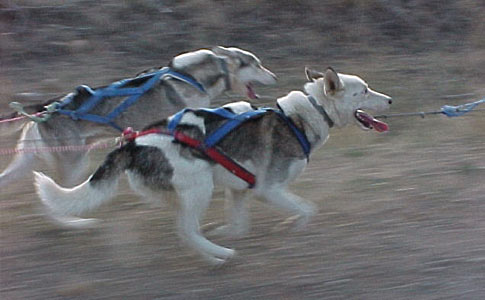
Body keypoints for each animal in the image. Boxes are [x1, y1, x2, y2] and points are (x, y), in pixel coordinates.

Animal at [0, 46, 276, 188]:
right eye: (257, 64)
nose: (274, 76)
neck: (193, 77)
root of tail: (46, 107)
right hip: (73, 160)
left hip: (30, 157)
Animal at [33, 67, 390, 264]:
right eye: (364, 90)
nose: (389, 100)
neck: (301, 117)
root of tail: (133, 143)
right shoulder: (268, 189)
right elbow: (307, 209)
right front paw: (293, 226)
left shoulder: (240, 190)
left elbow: (239, 225)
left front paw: (229, 232)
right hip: (200, 186)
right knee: (187, 231)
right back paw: (221, 256)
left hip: (183, 195)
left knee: (184, 231)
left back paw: (211, 252)